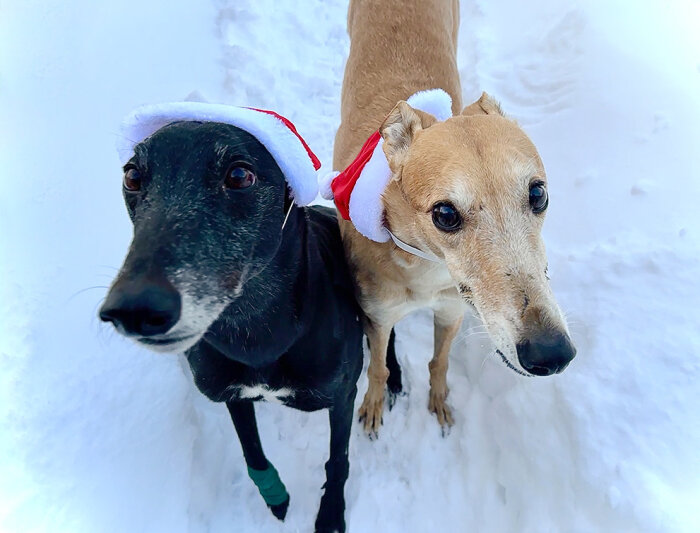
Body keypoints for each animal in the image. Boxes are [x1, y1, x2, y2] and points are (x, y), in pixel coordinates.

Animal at [102, 121, 372, 532]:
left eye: (240, 175)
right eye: (132, 176)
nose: (133, 309)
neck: (257, 332)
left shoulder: (342, 395)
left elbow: (337, 460)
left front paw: (330, 514)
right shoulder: (232, 395)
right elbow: (253, 453)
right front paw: (276, 497)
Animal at [330, 0, 576, 436]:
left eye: (538, 193)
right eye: (445, 214)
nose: (550, 353)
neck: (423, 266)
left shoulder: (451, 311)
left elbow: (439, 361)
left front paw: (440, 403)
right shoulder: (377, 317)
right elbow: (378, 367)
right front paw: (373, 405)